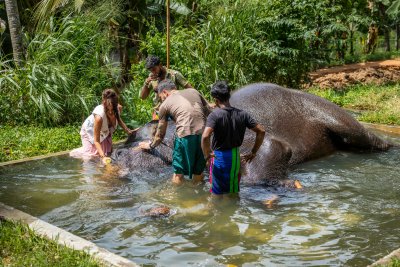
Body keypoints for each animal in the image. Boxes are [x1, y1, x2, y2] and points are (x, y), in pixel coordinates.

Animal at [113, 82, 394, 185]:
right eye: (128, 137)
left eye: (120, 153)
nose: (115, 153)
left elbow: (272, 147)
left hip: (334, 113)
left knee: (368, 138)